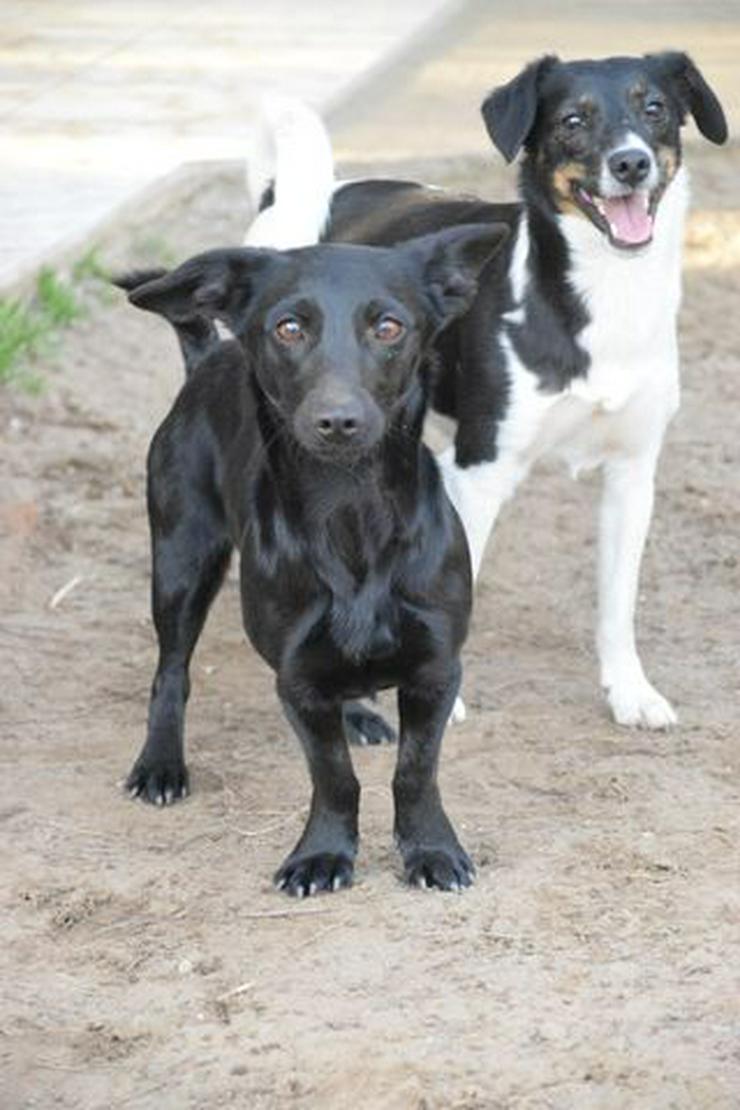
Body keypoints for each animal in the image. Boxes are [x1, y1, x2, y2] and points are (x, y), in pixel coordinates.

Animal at [118, 225, 505, 892]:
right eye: (289, 328)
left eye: (389, 327)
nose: (338, 420)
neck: (350, 513)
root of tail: (208, 359)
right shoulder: (296, 679)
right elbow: (334, 777)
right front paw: (322, 853)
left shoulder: (436, 670)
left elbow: (415, 771)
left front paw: (431, 850)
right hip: (180, 561)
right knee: (171, 671)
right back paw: (161, 764)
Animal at [250, 52, 727, 728]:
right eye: (573, 120)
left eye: (654, 108)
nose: (631, 163)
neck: (603, 296)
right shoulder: (480, 471)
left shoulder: (633, 474)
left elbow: (617, 604)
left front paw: (631, 690)